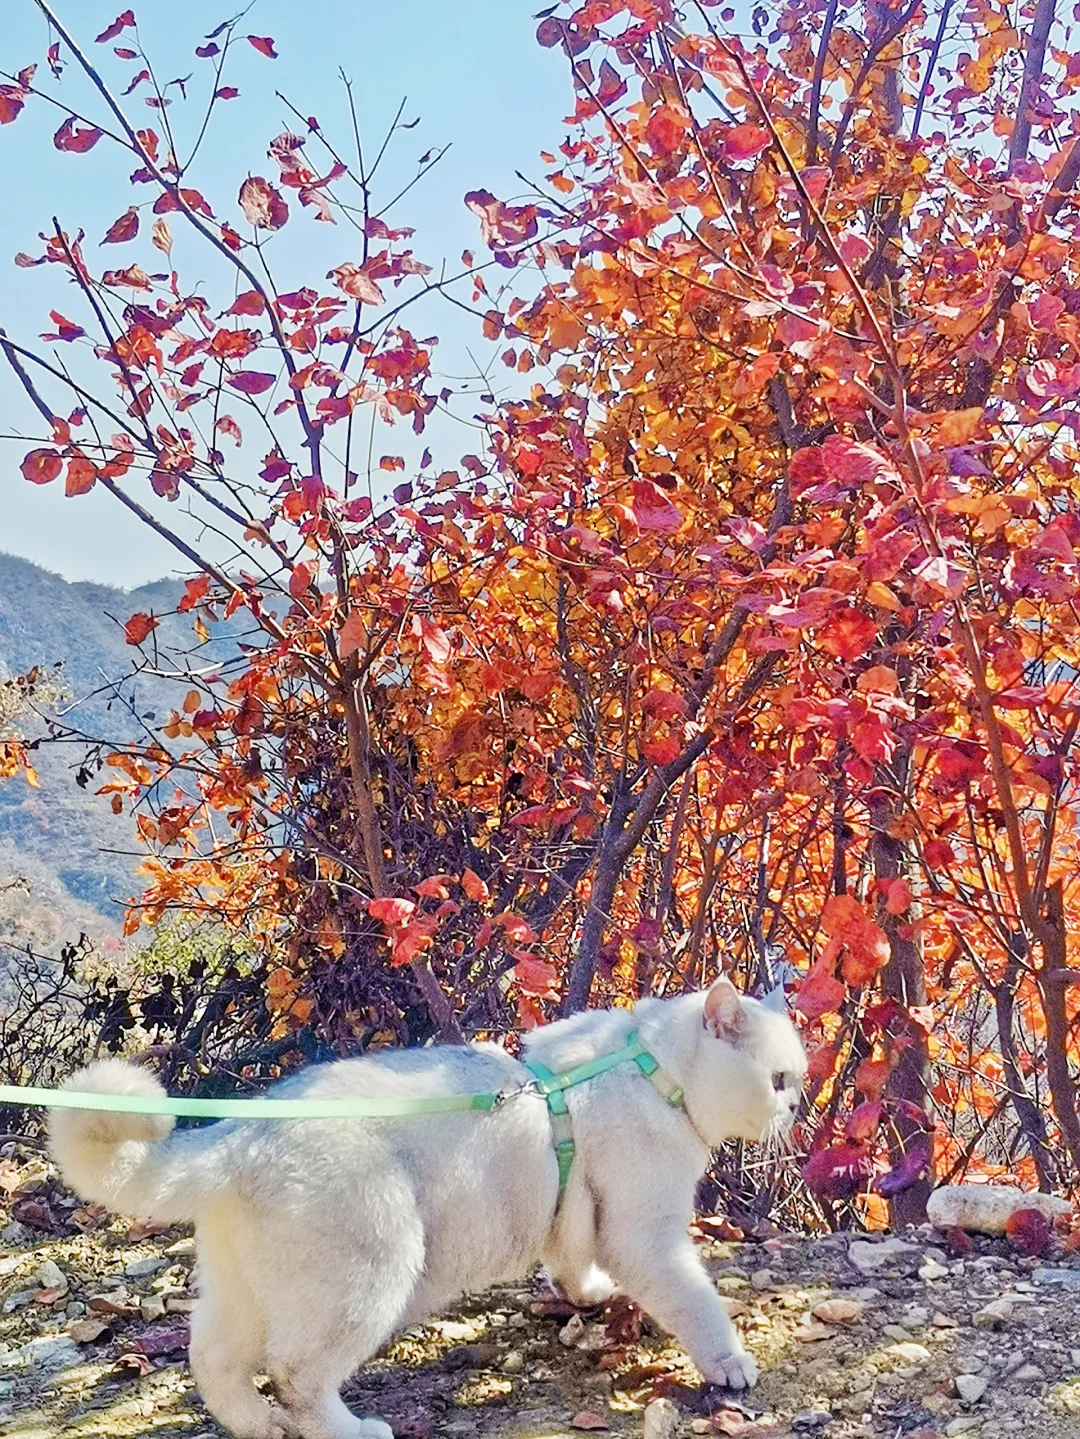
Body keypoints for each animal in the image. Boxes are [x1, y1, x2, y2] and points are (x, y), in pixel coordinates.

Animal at [52, 978, 805, 1439]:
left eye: (797, 1077)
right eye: (777, 1079)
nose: (798, 1106)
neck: (648, 1069)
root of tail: (242, 1133)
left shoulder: (578, 1219)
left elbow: (571, 1263)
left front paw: (585, 1295)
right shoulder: (644, 1233)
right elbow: (696, 1301)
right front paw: (730, 1362)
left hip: (244, 1292)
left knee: (211, 1359)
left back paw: (257, 1425)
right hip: (370, 1273)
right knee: (295, 1373)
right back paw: (350, 1430)